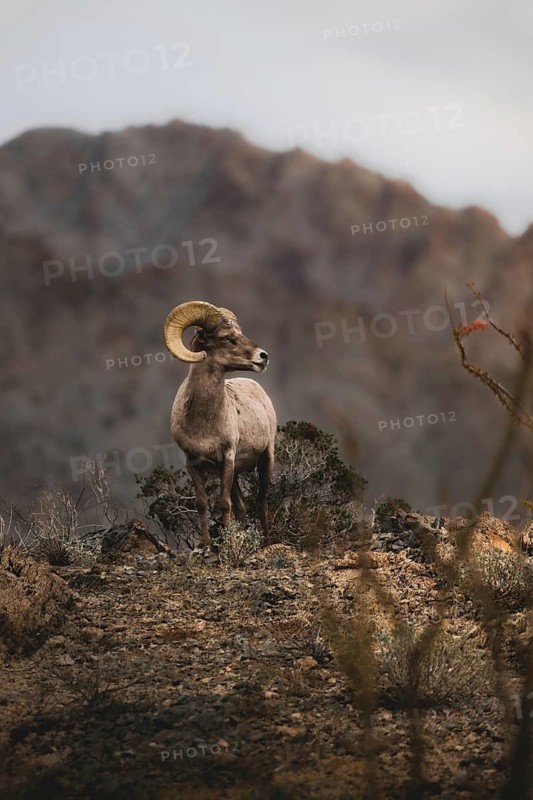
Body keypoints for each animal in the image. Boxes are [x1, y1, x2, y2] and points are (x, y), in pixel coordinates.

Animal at [163, 300, 276, 551]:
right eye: (225, 338)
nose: (263, 357)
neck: (204, 422)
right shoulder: (193, 463)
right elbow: (202, 503)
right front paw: (205, 544)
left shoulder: (227, 458)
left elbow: (224, 503)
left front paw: (227, 544)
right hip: (235, 473)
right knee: (242, 507)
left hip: (266, 459)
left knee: (261, 502)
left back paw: (265, 543)